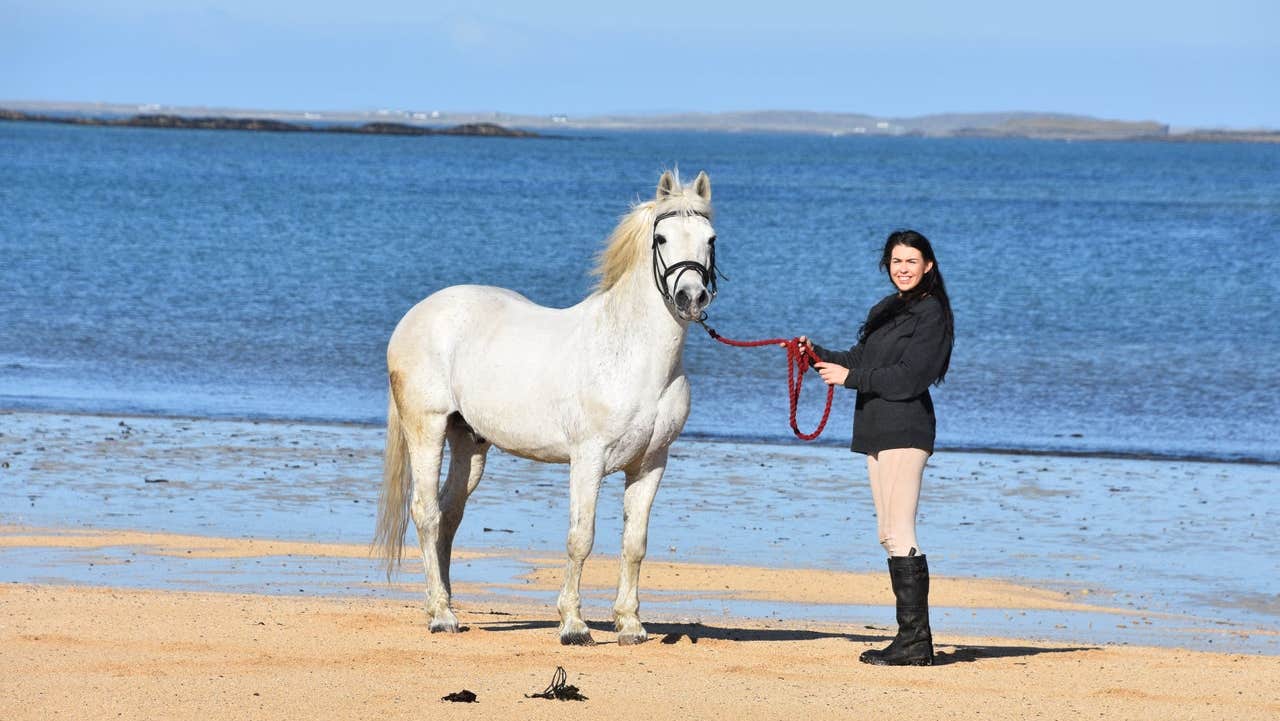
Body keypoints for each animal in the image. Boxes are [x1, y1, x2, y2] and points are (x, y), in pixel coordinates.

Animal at [374, 169, 718, 645]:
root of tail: (414, 316)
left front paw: (630, 625)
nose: (691, 297)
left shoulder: (651, 463)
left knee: (449, 513)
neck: (633, 355)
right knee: (426, 513)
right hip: (426, 430)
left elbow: (635, 543)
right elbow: (581, 537)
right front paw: (573, 625)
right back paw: (442, 616)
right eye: (661, 238)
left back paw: (443, 602)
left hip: (470, 443)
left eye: (710, 239)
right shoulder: (588, 459)